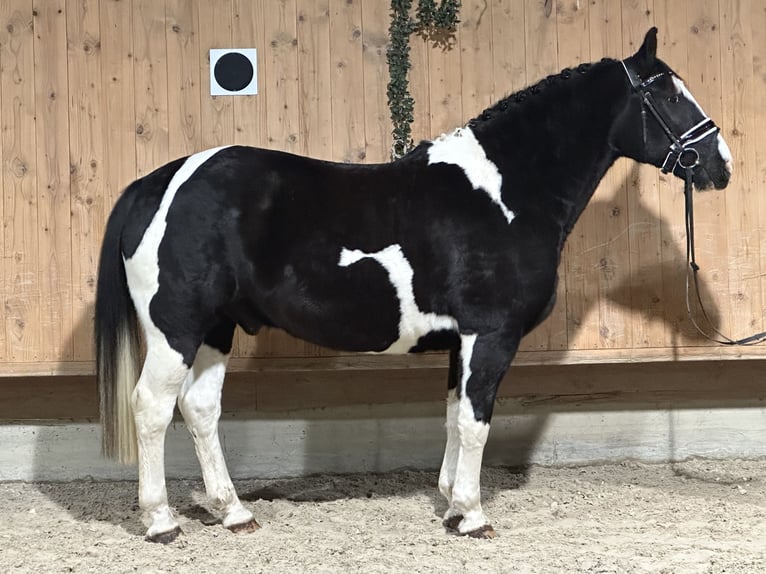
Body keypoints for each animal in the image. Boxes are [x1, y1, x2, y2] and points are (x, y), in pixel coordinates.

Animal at [94, 30, 732, 544]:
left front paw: (450, 505)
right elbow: (476, 422)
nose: (720, 165)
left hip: (216, 328)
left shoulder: (461, 342)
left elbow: (453, 417)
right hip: (176, 329)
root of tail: (157, 183)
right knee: (152, 408)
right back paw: (161, 523)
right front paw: (472, 516)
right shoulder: (490, 335)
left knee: (200, 409)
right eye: (669, 96)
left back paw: (234, 513)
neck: (503, 194)